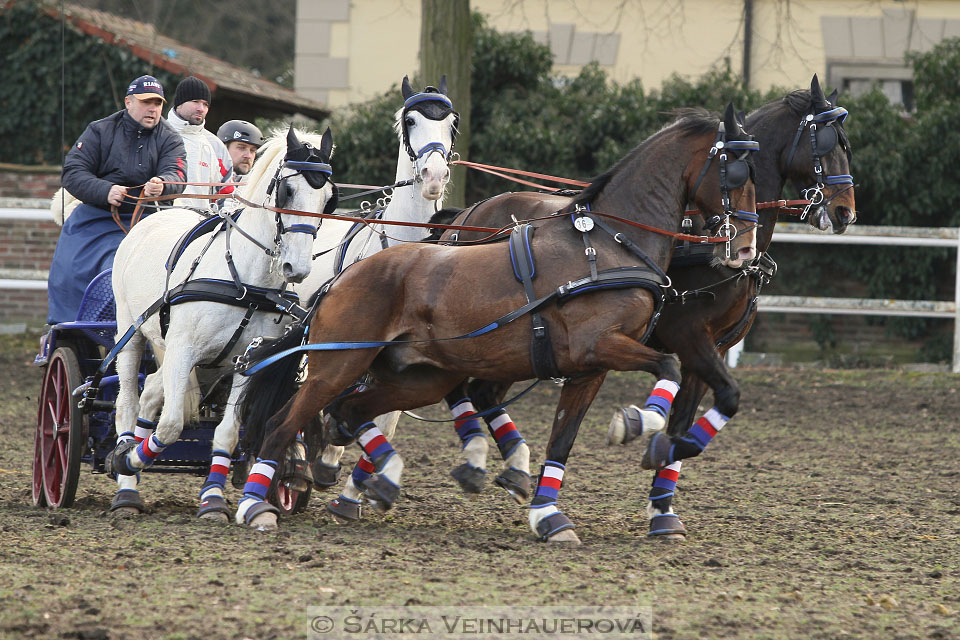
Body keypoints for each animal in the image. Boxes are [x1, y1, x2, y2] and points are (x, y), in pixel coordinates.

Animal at [102, 125, 338, 520]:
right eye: (287, 191)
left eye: (328, 200)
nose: (299, 268)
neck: (245, 280)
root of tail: (152, 216)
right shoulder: (183, 350)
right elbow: (170, 425)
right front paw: (128, 460)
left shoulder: (249, 362)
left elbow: (226, 433)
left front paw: (212, 499)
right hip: (131, 330)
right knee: (127, 402)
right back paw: (126, 485)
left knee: (149, 394)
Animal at [238, 101, 756, 540]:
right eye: (735, 170)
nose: (744, 245)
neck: (607, 243)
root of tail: (341, 277)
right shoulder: (598, 344)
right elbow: (668, 366)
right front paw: (637, 424)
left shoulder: (589, 368)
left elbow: (564, 439)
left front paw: (552, 515)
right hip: (337, 365)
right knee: (283, 424)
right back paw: (255, 506)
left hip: (417, 376)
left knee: (349, 412)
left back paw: (380, 480)